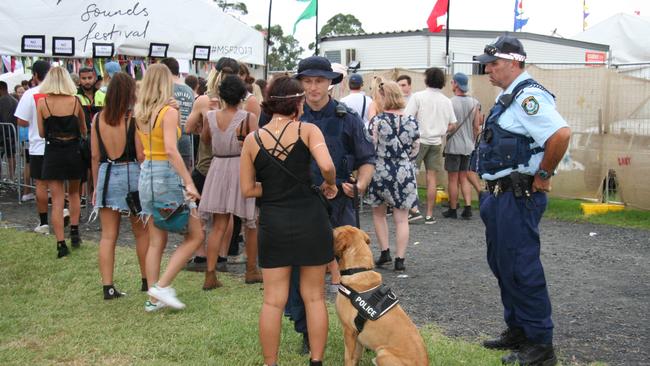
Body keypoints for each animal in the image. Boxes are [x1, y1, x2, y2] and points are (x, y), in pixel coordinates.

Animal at [332, 226, 428, 366]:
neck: (358, 270)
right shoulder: (357, 336)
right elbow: (356, 357)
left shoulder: (349, 331)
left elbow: (348, 358)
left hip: (382, 353)